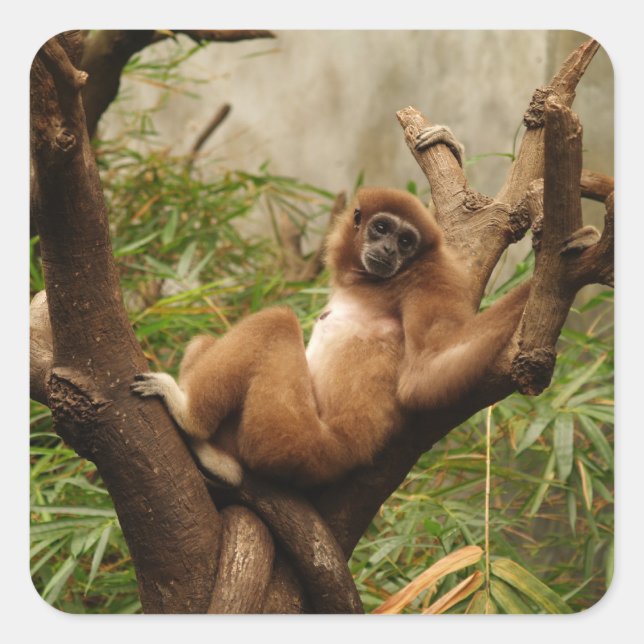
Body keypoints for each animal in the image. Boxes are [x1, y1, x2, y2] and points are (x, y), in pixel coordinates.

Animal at [130, 126, 532, 488]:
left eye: (405, 241)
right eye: (382, 229)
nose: (389, 250)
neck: (374, 284)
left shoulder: (429, 277)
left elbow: (427, 371)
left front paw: (535, 283)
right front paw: (450, 147)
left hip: (290, 438)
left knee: (276, 322)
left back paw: (191, 422)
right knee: (207, 341)